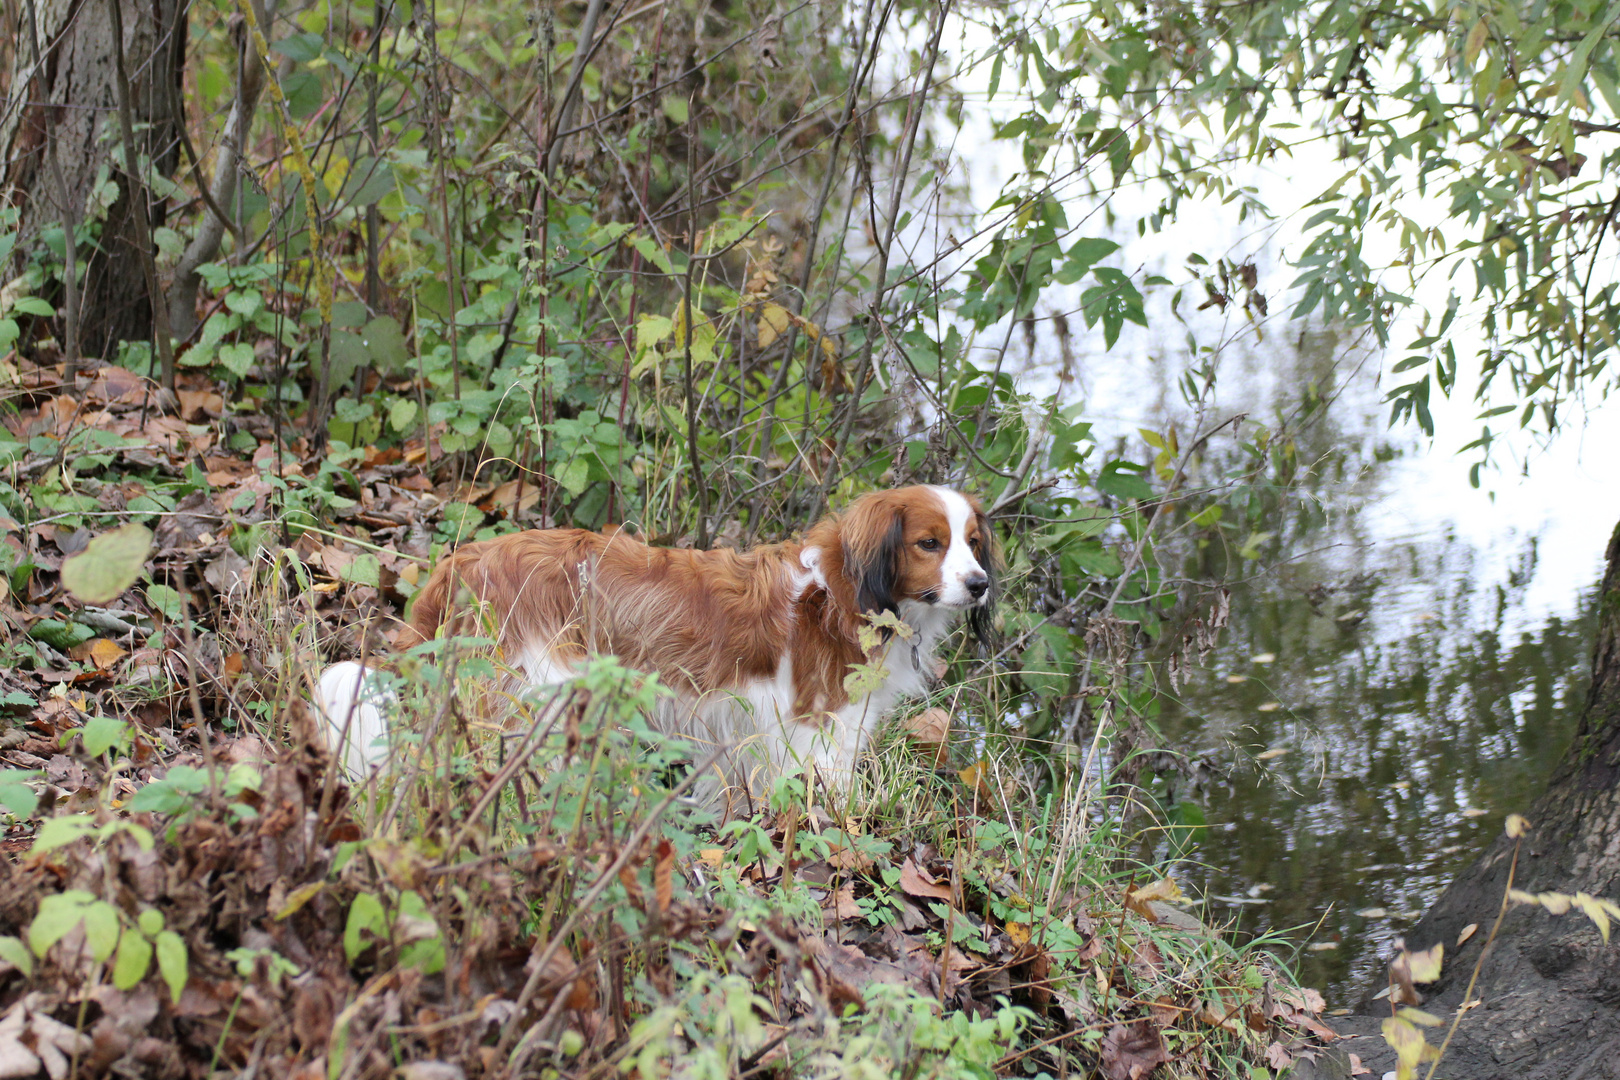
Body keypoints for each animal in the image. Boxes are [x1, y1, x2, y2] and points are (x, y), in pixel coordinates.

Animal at [312, 485, 997, 806]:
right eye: (929, 543)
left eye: (971, 542)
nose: (980, 584)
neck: (848, 589)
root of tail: (465, 562)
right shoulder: (817, 732)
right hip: (537, 697)